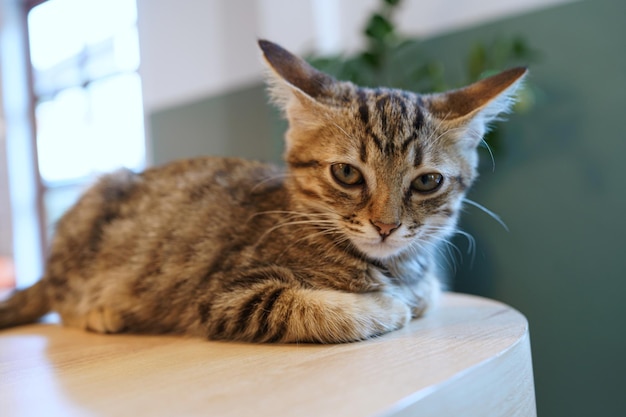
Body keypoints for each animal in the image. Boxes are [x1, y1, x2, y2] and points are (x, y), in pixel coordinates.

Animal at [0, 40, 524, 342]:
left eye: (427, 181)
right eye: (347, 174)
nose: (386, 225)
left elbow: (428, 294)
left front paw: (410, 296)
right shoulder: (222, 296)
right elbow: (303, 305)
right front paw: (385, 306)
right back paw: (102, 312)